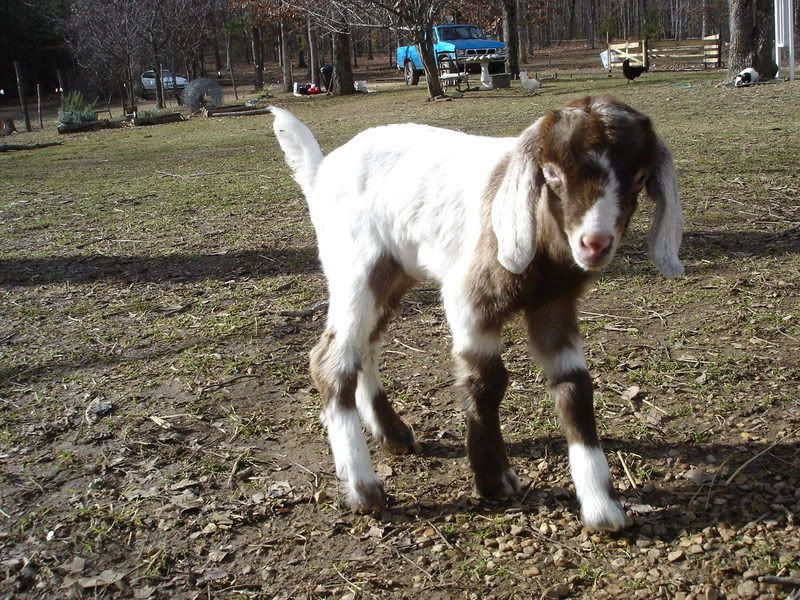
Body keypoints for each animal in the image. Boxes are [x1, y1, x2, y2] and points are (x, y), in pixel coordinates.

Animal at [271, 97, 684, 532]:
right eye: (551, 173)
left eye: (639, 178)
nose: (595, 243)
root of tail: (320, 173)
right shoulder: (469, 299)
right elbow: (487, 380)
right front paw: (493, 479)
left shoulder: (554, 306)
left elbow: (575, 387)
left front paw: (602, 506)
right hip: (354, 269)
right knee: (331, 360)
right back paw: (365, 489)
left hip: (392, 274)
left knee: (365, 346)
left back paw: (393, 434)